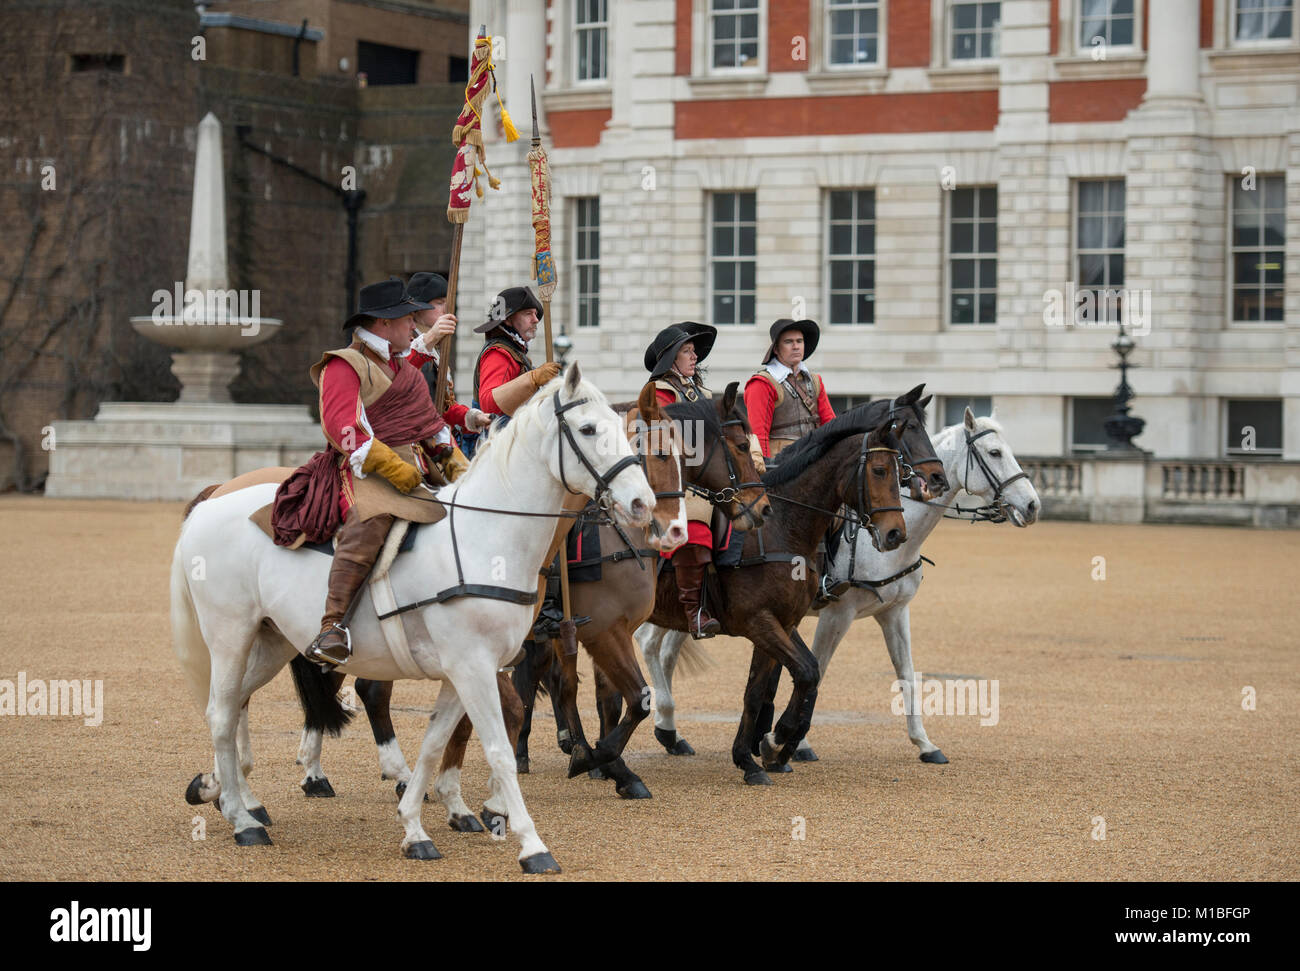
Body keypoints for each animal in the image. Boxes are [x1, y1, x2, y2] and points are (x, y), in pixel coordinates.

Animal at [172, 363, 655, 873]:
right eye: (588, 429)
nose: (643, 504)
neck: (488, 537)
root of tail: (210, 503)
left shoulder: (463, 675)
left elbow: (433, 745)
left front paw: (416, 828)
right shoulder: (475, 669)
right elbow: (499, 751)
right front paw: (531, 844)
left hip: (272, 642)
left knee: (233, 706)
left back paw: (223, 793)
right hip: (230, 635)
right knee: (222, 712)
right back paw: (242, 819)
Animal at [642, 408, 1045, 769]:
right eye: (994, 452)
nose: (1032, 505)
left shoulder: (893, 612)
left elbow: (907, 675)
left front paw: (925, 744)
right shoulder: (837, 613)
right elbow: (816, 670)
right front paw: (789, 742)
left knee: (666, 648)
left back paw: (671, 732)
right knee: (650, 644)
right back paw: (666, 723)